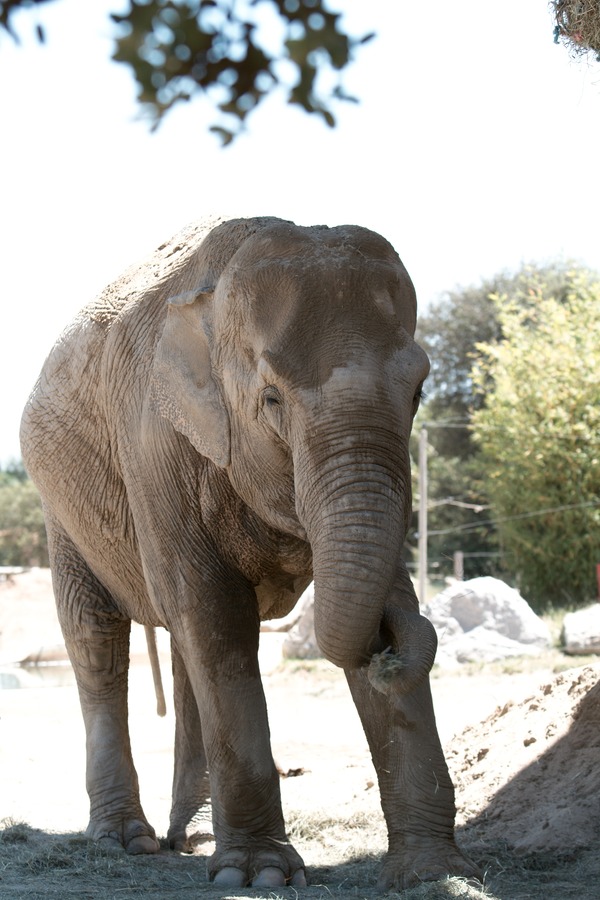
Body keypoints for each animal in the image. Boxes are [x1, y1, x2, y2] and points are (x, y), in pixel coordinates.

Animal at [19, 214, 478, 888]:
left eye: (420, 391)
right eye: (271, 399)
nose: (391, 646)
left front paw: (432, 873)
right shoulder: (154, 443)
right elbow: (208, 605)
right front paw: (259, 876)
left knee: (185, 652)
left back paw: (197, 835)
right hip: (61, 503)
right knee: (98, 637)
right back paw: (124, 840)